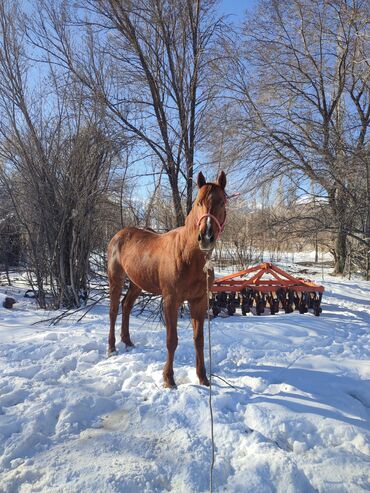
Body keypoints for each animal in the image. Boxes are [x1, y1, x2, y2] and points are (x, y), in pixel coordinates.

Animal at [107, 171, 227, 386]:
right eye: (198, 202)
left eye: (222, 202)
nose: (206, 237)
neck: (188, 255)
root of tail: (119, 235)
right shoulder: (171, 301)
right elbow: (172, 340)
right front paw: (168, 380)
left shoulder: (199, 301)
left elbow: (199, 340)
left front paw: (203, 379)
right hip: (116, 279)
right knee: (113, 311)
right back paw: (112, 348)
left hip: (136, 283)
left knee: (126, 306)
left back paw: (128, 342)